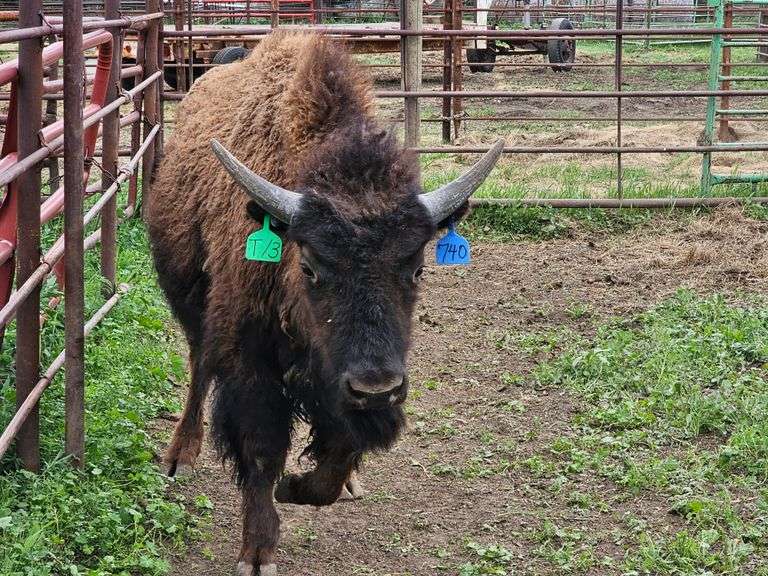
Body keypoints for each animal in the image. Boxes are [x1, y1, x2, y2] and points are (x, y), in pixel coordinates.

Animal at [146, 31, 503, 575]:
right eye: (311, 267)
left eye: (418, 268)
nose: (376, 388)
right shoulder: (251, 362)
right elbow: (262, 449)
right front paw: (257, 551)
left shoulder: (341, 385)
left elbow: (338, 454)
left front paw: (302, 486)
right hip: (190, 299)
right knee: (197, 365)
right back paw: (179, 455)